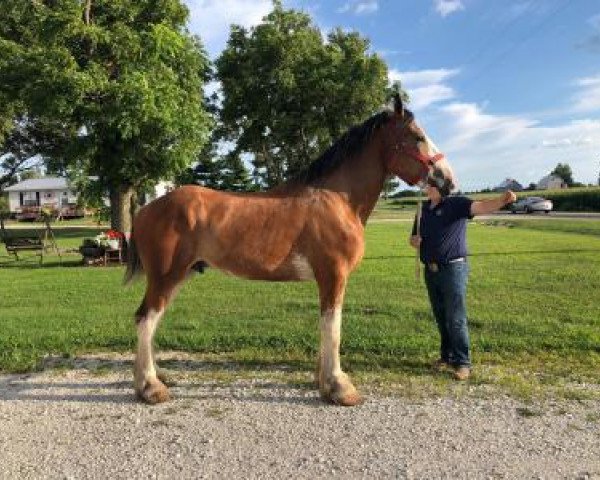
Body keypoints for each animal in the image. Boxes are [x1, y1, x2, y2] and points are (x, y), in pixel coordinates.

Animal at [126, 94, 454, 404]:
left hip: (179, 276)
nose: (448, 180)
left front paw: (323, 382)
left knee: (151, 321)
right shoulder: (334, 275)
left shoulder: (328, 279)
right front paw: (339, 387)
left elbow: (326, 328)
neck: (338, 200)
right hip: (166, 277)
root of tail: (146, 209)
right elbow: (333, 328)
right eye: (417, 136)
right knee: (145, 320)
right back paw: (150, 387)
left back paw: (155, 377)